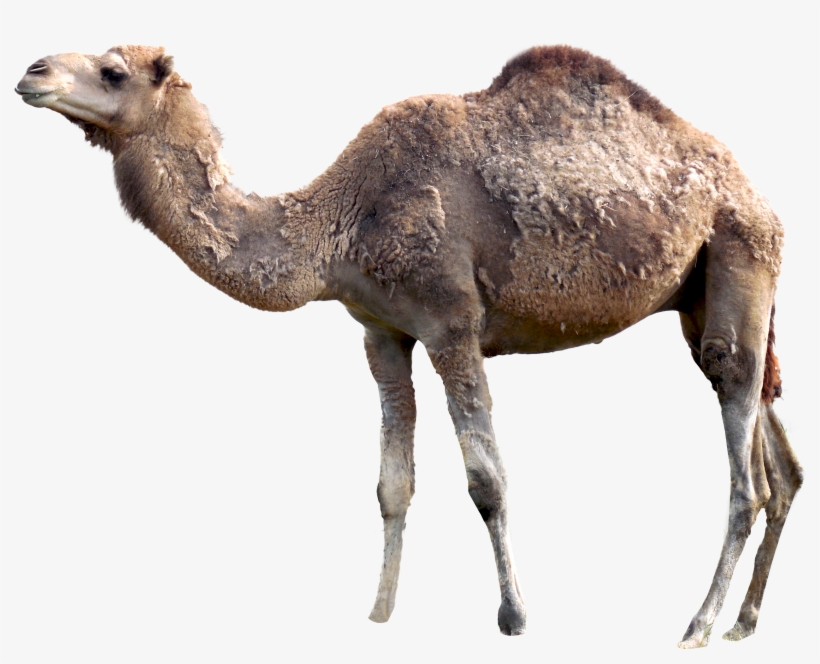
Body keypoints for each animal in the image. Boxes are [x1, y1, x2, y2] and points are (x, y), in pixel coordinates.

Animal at [15, 44, 802, 647]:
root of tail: (755, 195)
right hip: (703, 297)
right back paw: (744, 621)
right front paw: (378, 614)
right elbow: (391, 485)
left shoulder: (452, 323)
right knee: (776, 452)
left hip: (739, 251)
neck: (340, 221)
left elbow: (487, 481)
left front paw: (514, 617)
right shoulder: (381, 332)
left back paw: (697, 625)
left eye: (113, 71)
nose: (32, 72)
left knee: (747, 468)